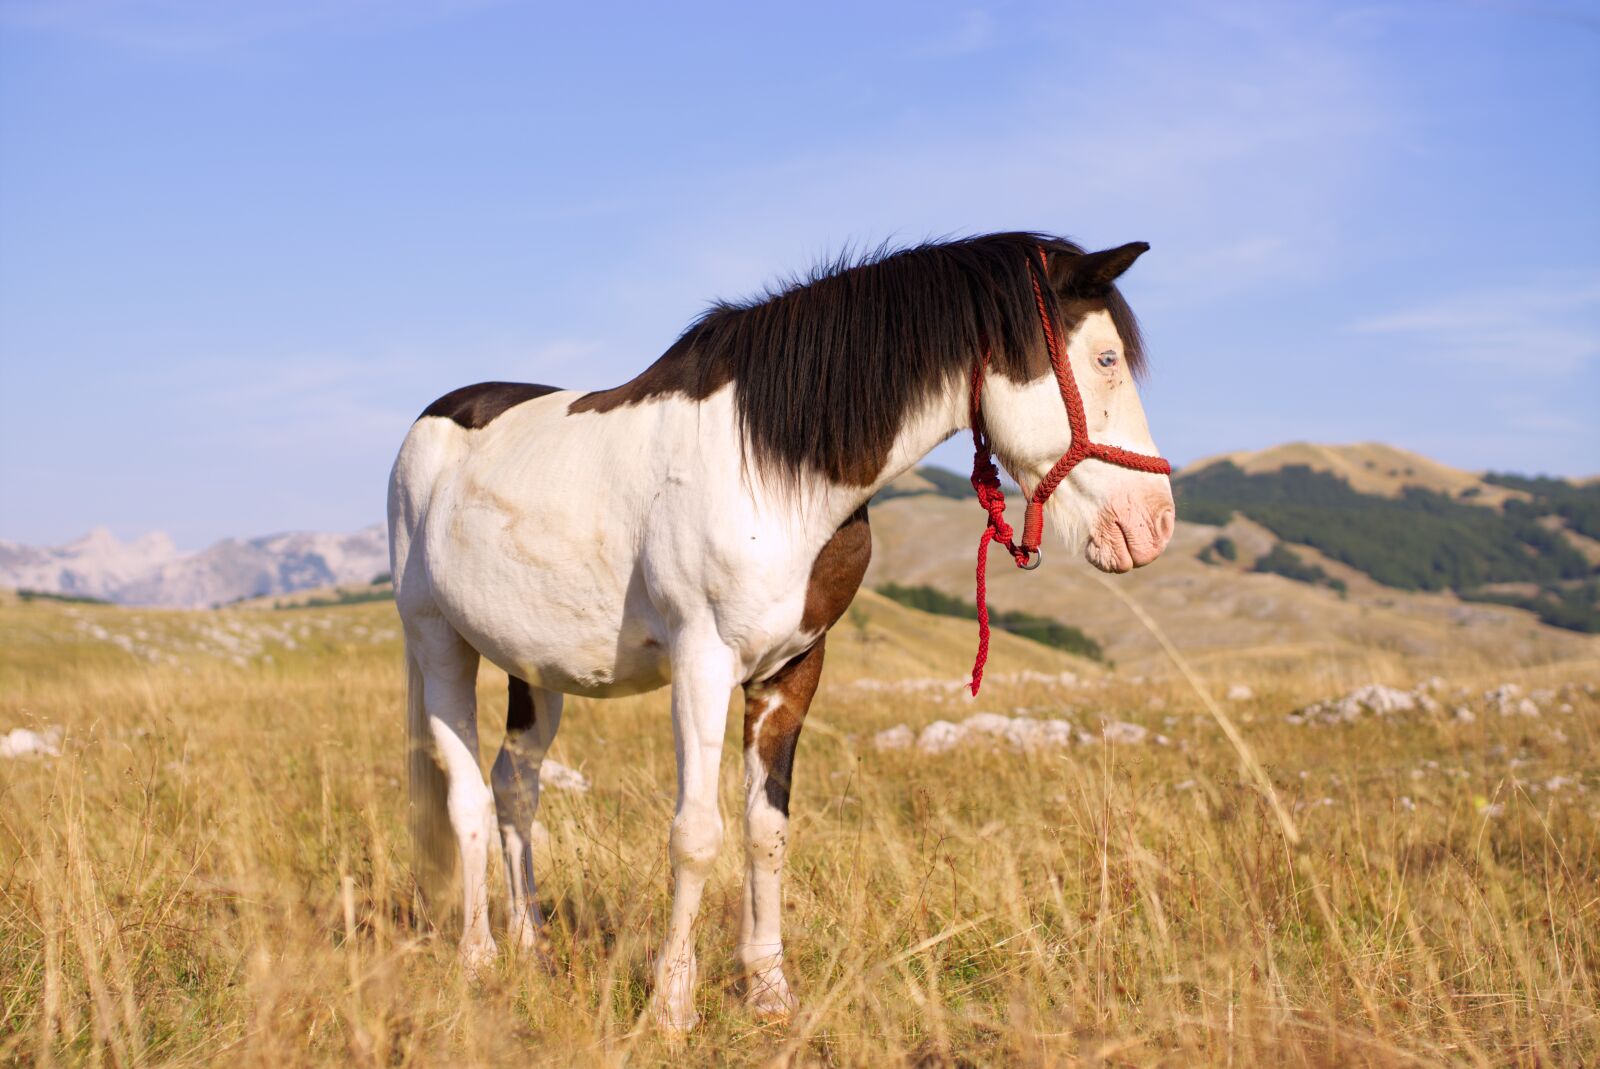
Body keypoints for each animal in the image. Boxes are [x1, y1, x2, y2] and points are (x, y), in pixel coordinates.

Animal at [387, 232, 1177, 1024]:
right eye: (1106, 359)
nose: (1152, 525)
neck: (768, 466)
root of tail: (435, 420)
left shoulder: (791, 670)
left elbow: (767, 829)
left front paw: (768, 989)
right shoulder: (702, 662)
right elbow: (696, 833)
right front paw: (672, 1003)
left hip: (534, 666)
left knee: (515, 785)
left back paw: (532, 946)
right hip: (438, 643)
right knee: (468, 798)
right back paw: (480, 957)